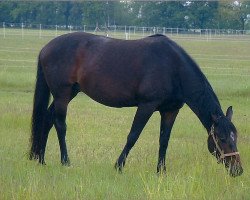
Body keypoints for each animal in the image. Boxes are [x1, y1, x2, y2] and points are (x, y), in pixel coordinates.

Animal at [29, 32, 242, 177]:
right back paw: (65, 162)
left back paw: (40, 159)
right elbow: (133, 136)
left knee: (47, 119)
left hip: (68, 94)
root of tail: (45, 48)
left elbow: (164, 140)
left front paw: (161, 171)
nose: (238, 170)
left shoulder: (170, 110)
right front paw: (118, 166)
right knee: (60, 125)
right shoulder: (146, 105)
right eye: (222, 138)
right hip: (62, 95)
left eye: (235, 137)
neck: (174, 67)